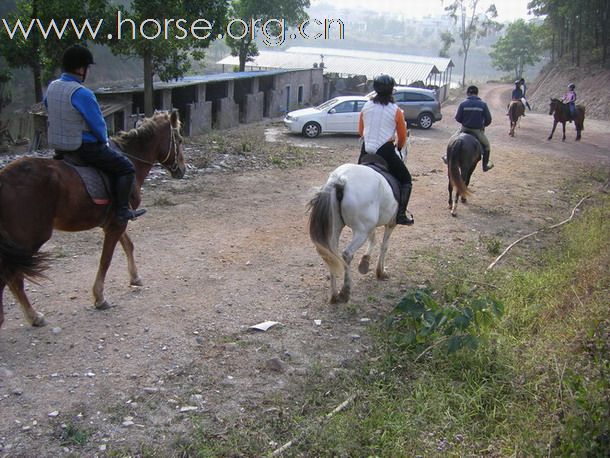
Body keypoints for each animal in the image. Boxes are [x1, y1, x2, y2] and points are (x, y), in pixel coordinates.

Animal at [0, 110, 185, 330]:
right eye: (179, 140)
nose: (182, 170)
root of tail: (4, 179)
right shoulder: (117, 223)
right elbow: (106, 260)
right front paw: (100, 298)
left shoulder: (114, 222)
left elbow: (128, 246)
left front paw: (135, 278)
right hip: (30, 239)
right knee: (11, 276)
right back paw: (33, 316)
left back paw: (32, 316)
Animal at [308, 165, 400, 304]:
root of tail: (340, 180)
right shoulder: (390, 224)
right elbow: (384, 245)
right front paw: (380, 272)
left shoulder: (370, 226)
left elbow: (373, 239)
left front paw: (365, 262)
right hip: (361, 231)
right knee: (347, 254)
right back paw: (345, 292)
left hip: (336, 229)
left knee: (331, 255)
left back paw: (334, 295)